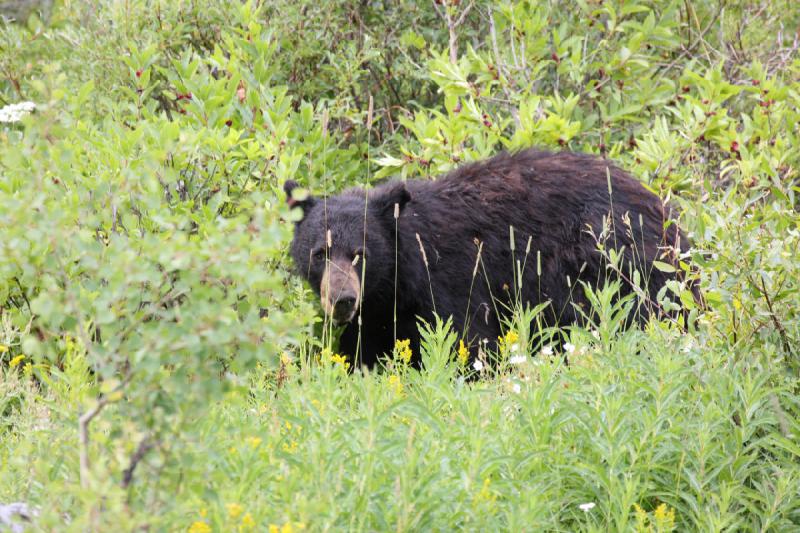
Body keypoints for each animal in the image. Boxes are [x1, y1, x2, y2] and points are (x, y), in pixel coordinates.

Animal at [286, 150, 692, 366]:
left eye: (361, 255)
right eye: (320, 253)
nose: (342, 299)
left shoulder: (452, 281)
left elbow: (468, 341)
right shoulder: (379, 310)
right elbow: (365, 350)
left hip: (617, 269)